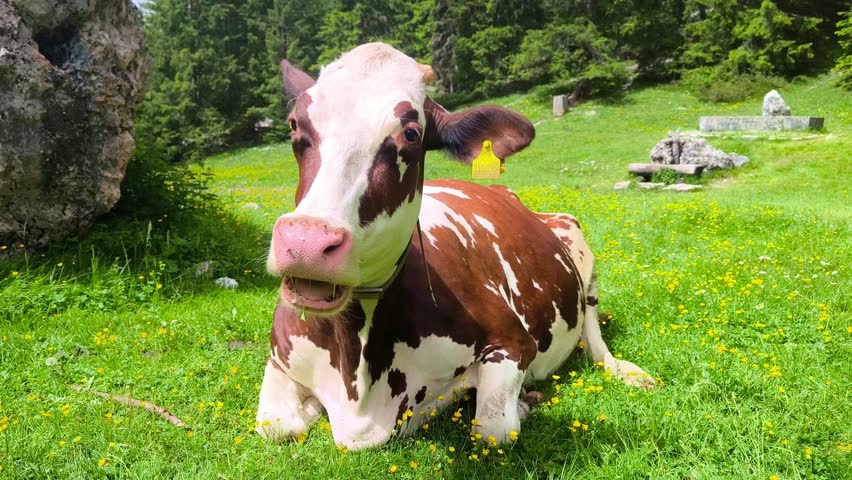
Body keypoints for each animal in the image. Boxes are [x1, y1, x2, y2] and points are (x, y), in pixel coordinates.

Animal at [256, 43, 654, 451]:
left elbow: (494, 428)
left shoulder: (515, 343)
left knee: (594, 335)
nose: (306, 242)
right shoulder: (278, 359)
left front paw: (517, 404)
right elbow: (276, 425)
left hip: (579, 251)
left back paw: (627, 372)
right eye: (294, 124)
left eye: (411, 134)